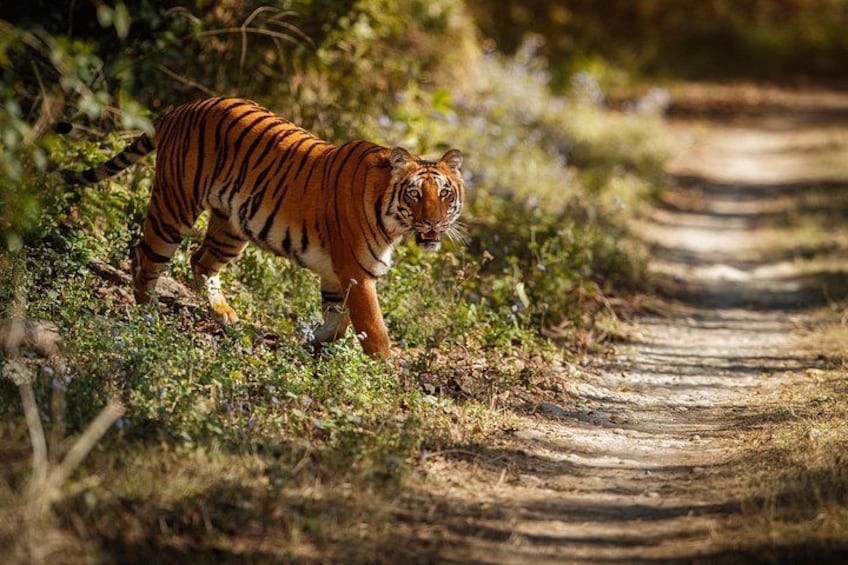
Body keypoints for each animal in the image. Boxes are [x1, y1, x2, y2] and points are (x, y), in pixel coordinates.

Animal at [64, 97, 465, 357]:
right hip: (174, 206)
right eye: (415, 194)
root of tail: (181, 108)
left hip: (231, 227)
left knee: (201, 261)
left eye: (445, 194)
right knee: (146, 258)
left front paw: (313, 344)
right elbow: (375, 330)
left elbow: (337, 321)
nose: (433, 221)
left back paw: (224, 315)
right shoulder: (357, 272)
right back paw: (148, 317)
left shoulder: (336, 274)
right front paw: (383, 373)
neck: (393, 221)